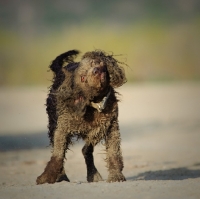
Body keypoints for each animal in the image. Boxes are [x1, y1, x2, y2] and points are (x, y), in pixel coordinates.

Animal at [36, 49, 126, 183]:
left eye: (95, 62)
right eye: (82, 78)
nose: (96, 70)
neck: (94, 104)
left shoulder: (110, 126)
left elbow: (113, 153)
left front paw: (116, 175)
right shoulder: (62, 129)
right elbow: (58, 155)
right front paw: (47, 176)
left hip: (96, 132)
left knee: (86, 150)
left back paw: (93, 175)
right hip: (53, 124)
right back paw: (62, 177)